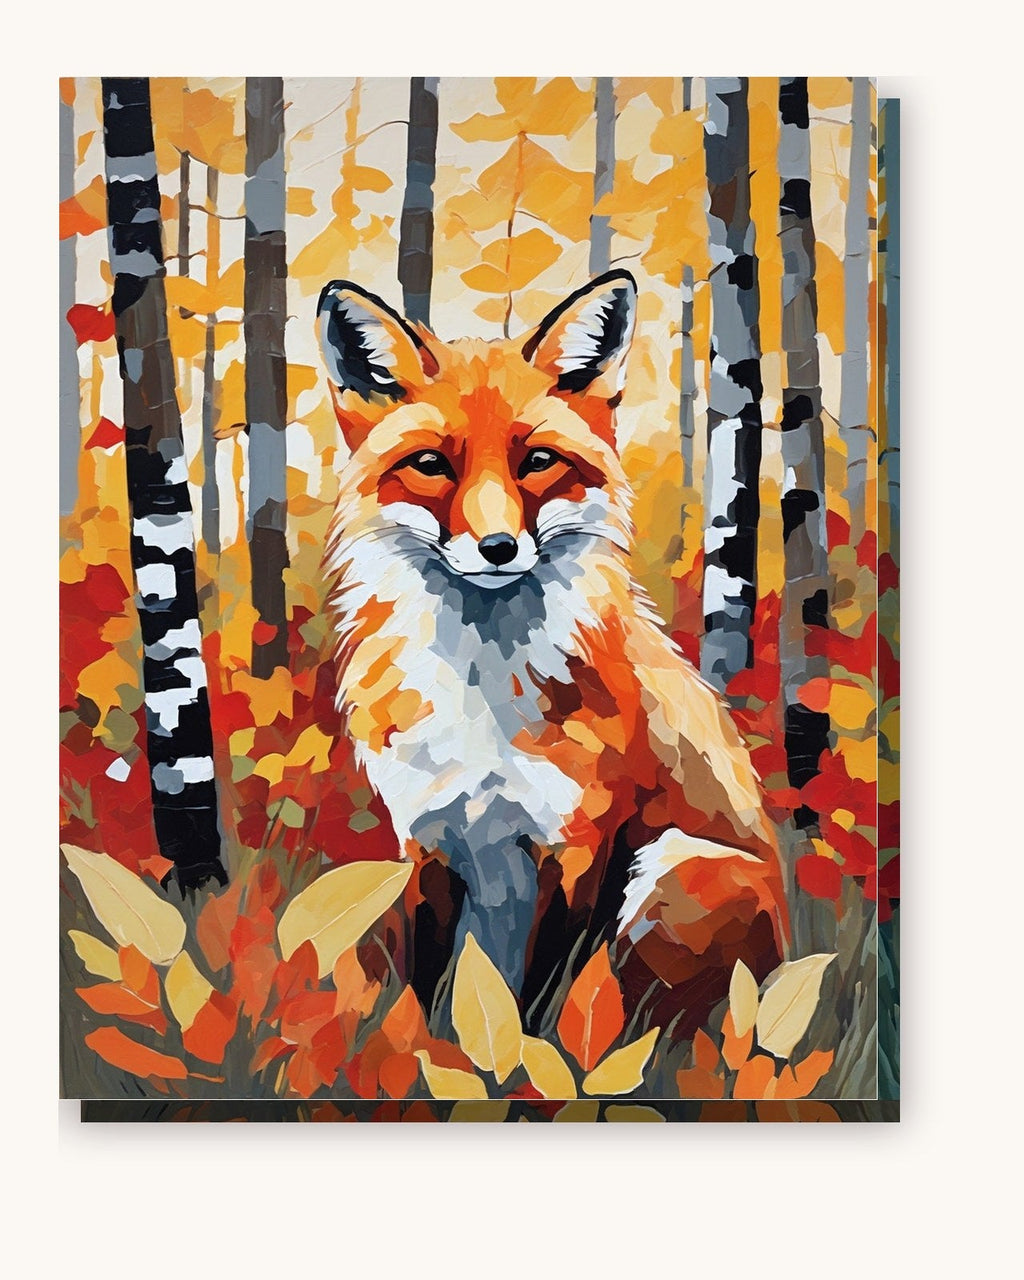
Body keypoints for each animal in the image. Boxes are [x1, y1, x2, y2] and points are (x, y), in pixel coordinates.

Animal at [316, 269, 788, 1036]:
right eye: (430, 465)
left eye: (537, 461)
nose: (497, 547)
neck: (479, 688)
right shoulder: (426, 839)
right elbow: (429, 993)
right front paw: (423, 1057)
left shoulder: (575, 848)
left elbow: (527, 1009)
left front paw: (508, 1065)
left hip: (677, 867)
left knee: (662, 1028)